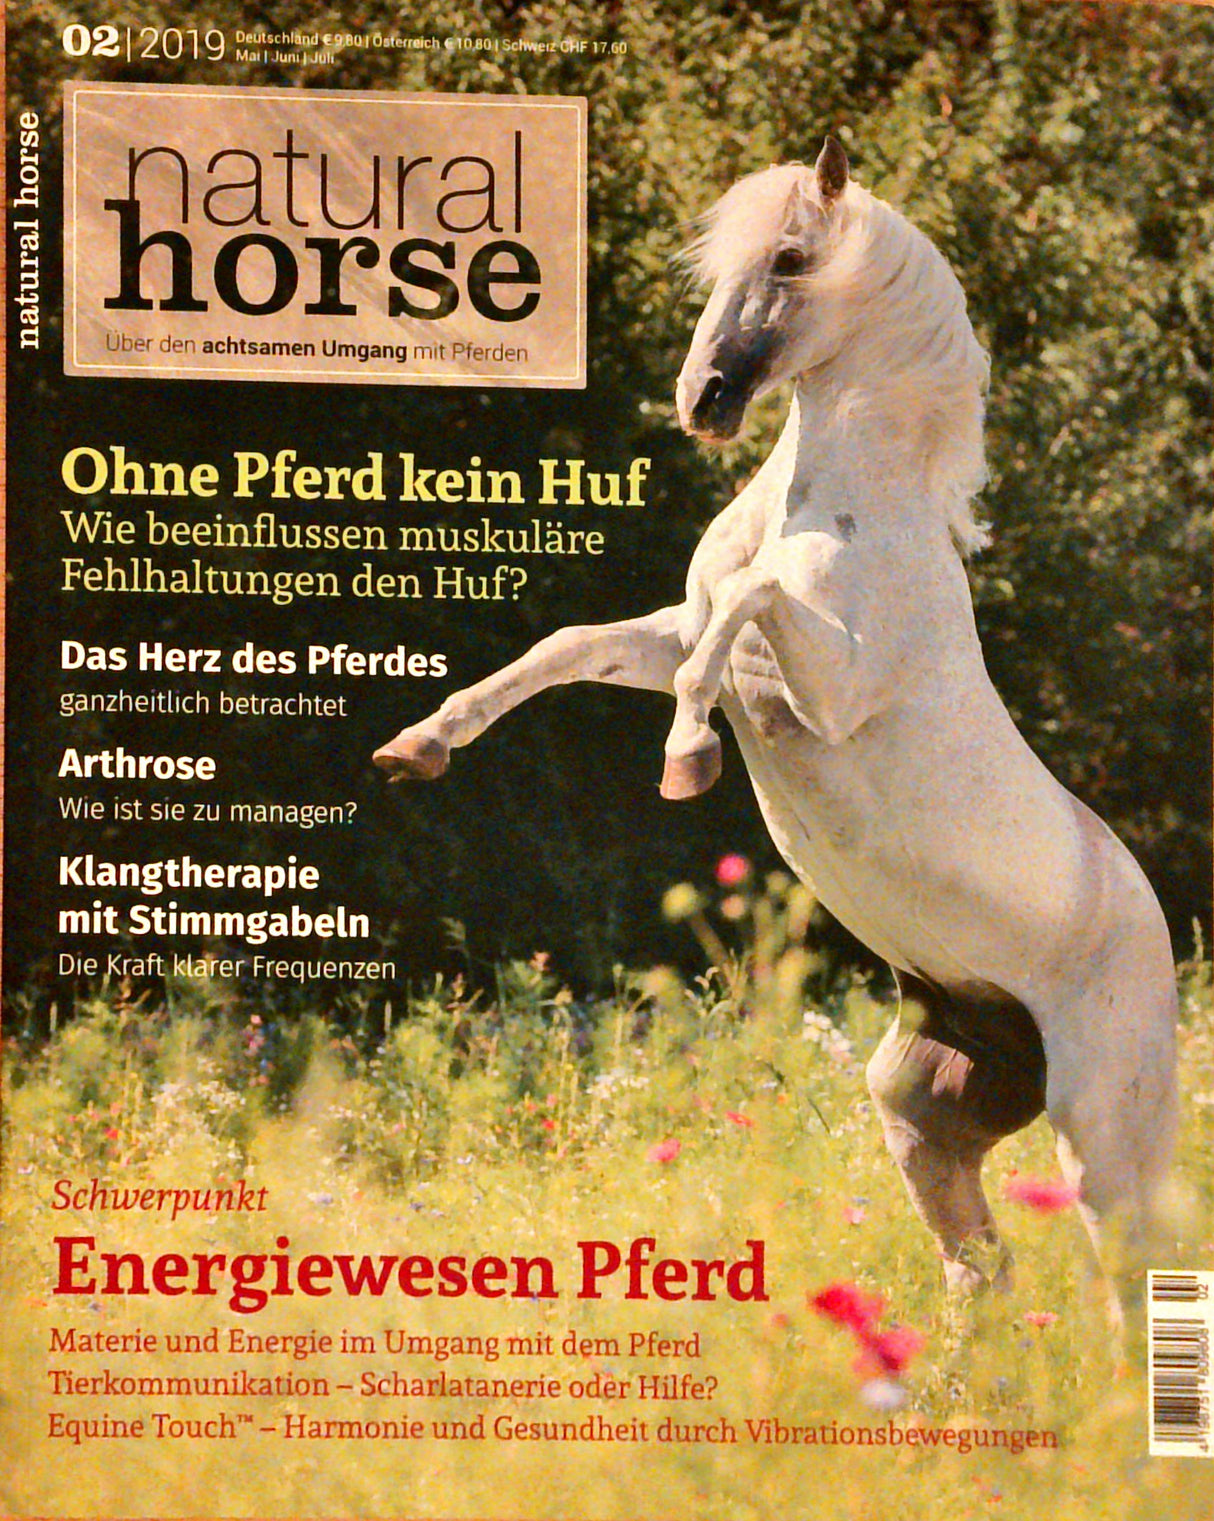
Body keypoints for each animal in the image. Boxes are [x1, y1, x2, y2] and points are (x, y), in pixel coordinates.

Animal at [374, 138, 1178, 1302]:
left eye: (790, 258)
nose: (701, 399)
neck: (839, 506)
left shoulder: (827, 689)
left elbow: (744, 611)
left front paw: (685, 761)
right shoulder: (681, 631)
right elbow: (574, 644)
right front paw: (417, 748)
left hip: (1100, 1132)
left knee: (1126, 1278)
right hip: (923, 1105)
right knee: (979, 1266)